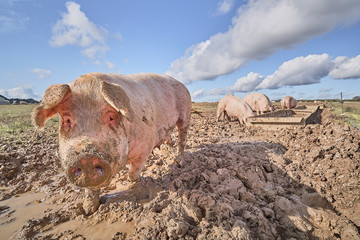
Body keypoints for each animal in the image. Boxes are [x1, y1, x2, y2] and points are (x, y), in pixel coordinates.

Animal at [31, 72, 191, 190]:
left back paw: (179, 157)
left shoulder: (146, 145)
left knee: (182, 136)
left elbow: (134, 171)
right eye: (67, 120)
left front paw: (134, 182)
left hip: (185, 113)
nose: (86, 158)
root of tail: (182, 84)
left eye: (111, 117)